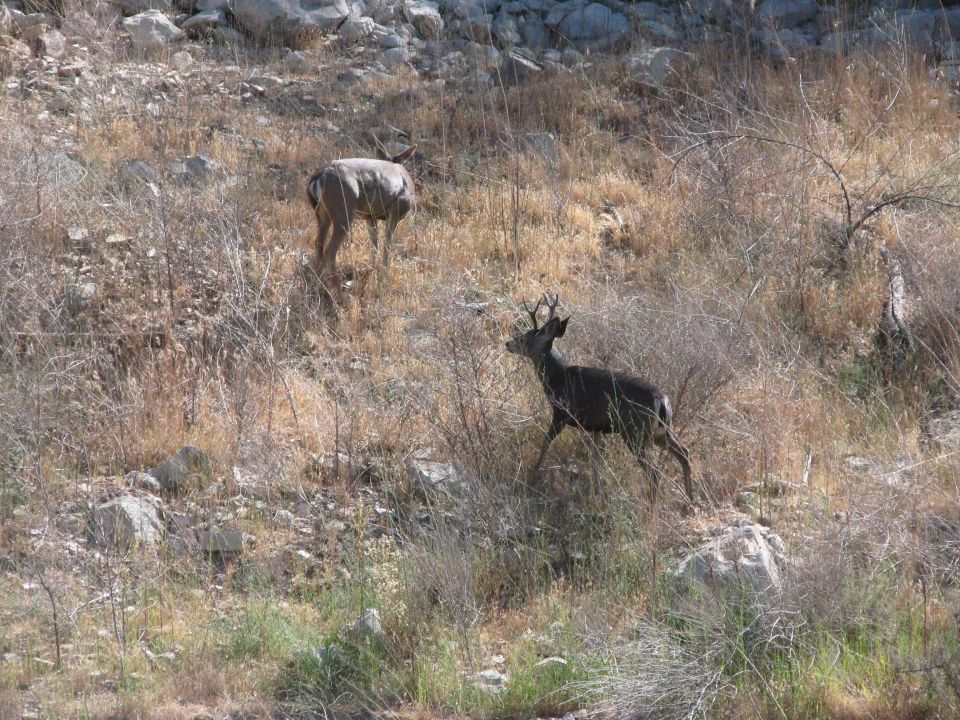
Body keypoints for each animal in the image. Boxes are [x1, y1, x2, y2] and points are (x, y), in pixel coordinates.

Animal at [306, 136, 417, 293]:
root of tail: (318, 177)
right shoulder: (396, 210)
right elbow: (386, 245)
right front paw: (383, 278)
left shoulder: (370, 216)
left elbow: (374, 245)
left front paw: (371, 271)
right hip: (343, 211)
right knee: (330, 250)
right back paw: (337, 288)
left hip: (322, 213)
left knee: (319, 243)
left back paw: (318, 282)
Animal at [505, 294, 694, 504]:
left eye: (524, 337)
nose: (508, 344)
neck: (557, 376)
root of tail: (661, 400)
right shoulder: (598, 426)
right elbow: (596, 458)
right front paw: (597, 492)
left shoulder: (562, 412)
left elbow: (547, 442)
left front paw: (532, 477)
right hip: (660, 432)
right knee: (684, 452)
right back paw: (691, 499)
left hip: (635, 431)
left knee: (655, 472)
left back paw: (651, 506)